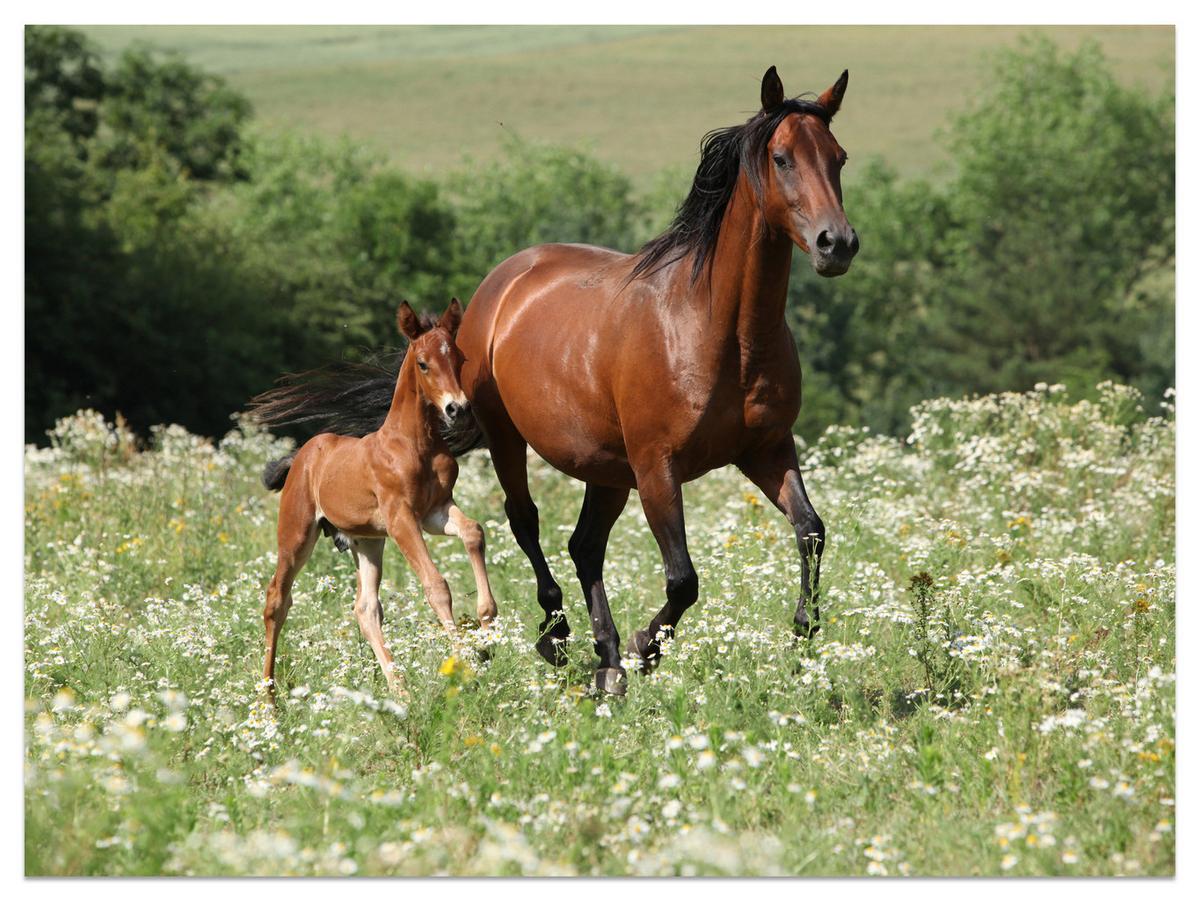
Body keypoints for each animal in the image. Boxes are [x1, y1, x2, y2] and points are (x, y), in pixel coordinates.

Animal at [251, 299, 498, 697]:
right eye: (423, 363)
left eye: (459, 358)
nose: (457, 409)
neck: (414, 443)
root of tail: (303, 455)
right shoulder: (401, 519)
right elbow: (436, 585)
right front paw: (466, 666)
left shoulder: (436, 512)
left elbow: (474, 532)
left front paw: (488, 625)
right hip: (296, 533)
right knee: (277, 600)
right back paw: (269, 698)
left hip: (367, 542)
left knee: (365, 608)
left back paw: (399, 688)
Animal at [452, 65, 858, 694]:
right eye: (782, 158)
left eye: (838, 158)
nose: (836, 245)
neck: (719, 330)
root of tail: (502, 282)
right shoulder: (657, 468)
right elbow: (683, 578)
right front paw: (649, 646)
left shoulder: (766, 449)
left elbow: (811, 529)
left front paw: (803, 628)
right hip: (509, 440)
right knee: (526, 522)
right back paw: (558, 637)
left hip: (606, 467)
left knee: (585, 546)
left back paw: (607, 660)